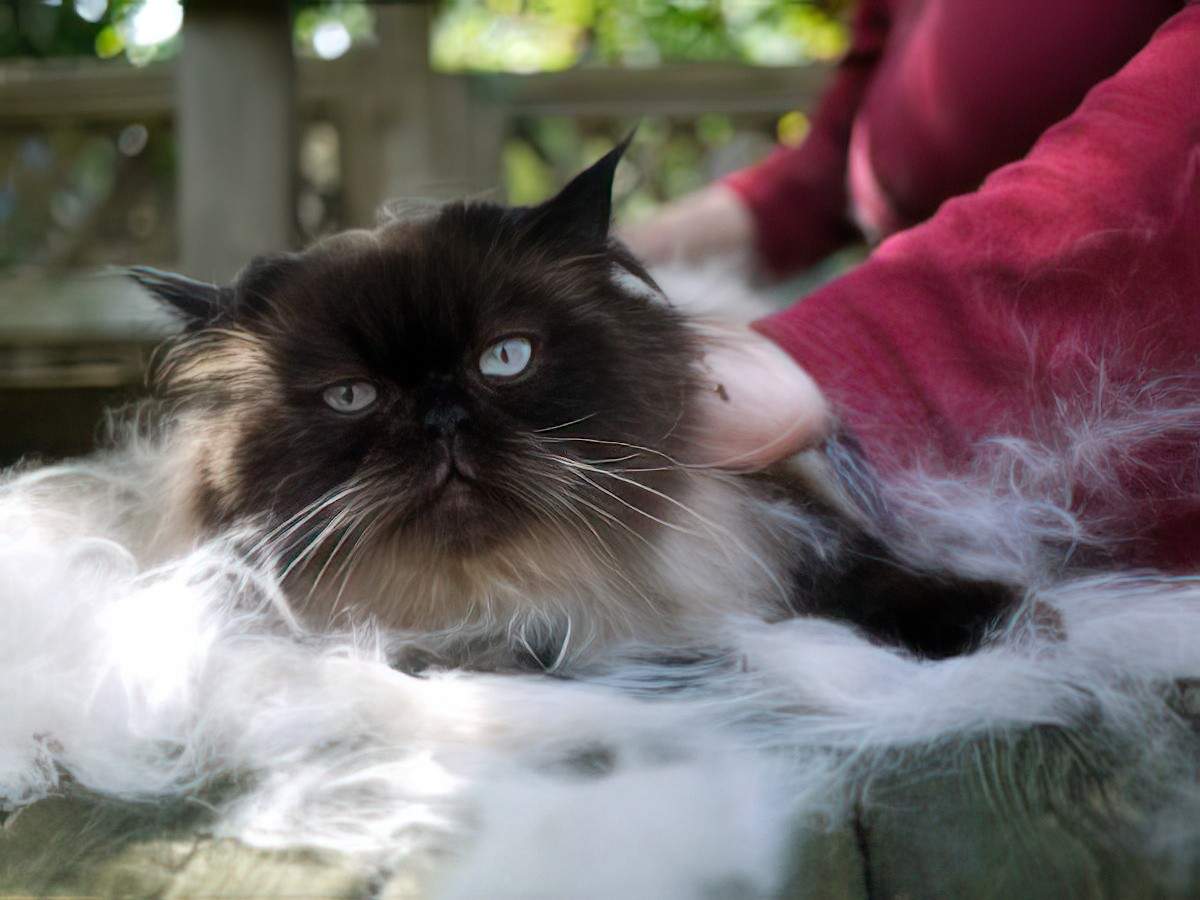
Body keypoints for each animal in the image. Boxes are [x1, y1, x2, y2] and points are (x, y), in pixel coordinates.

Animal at [131, 135, 1012, 672]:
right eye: (351, 395)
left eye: (505, 358)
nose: (442, 421)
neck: (523, 596)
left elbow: (877, 577)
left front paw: (995, 622)